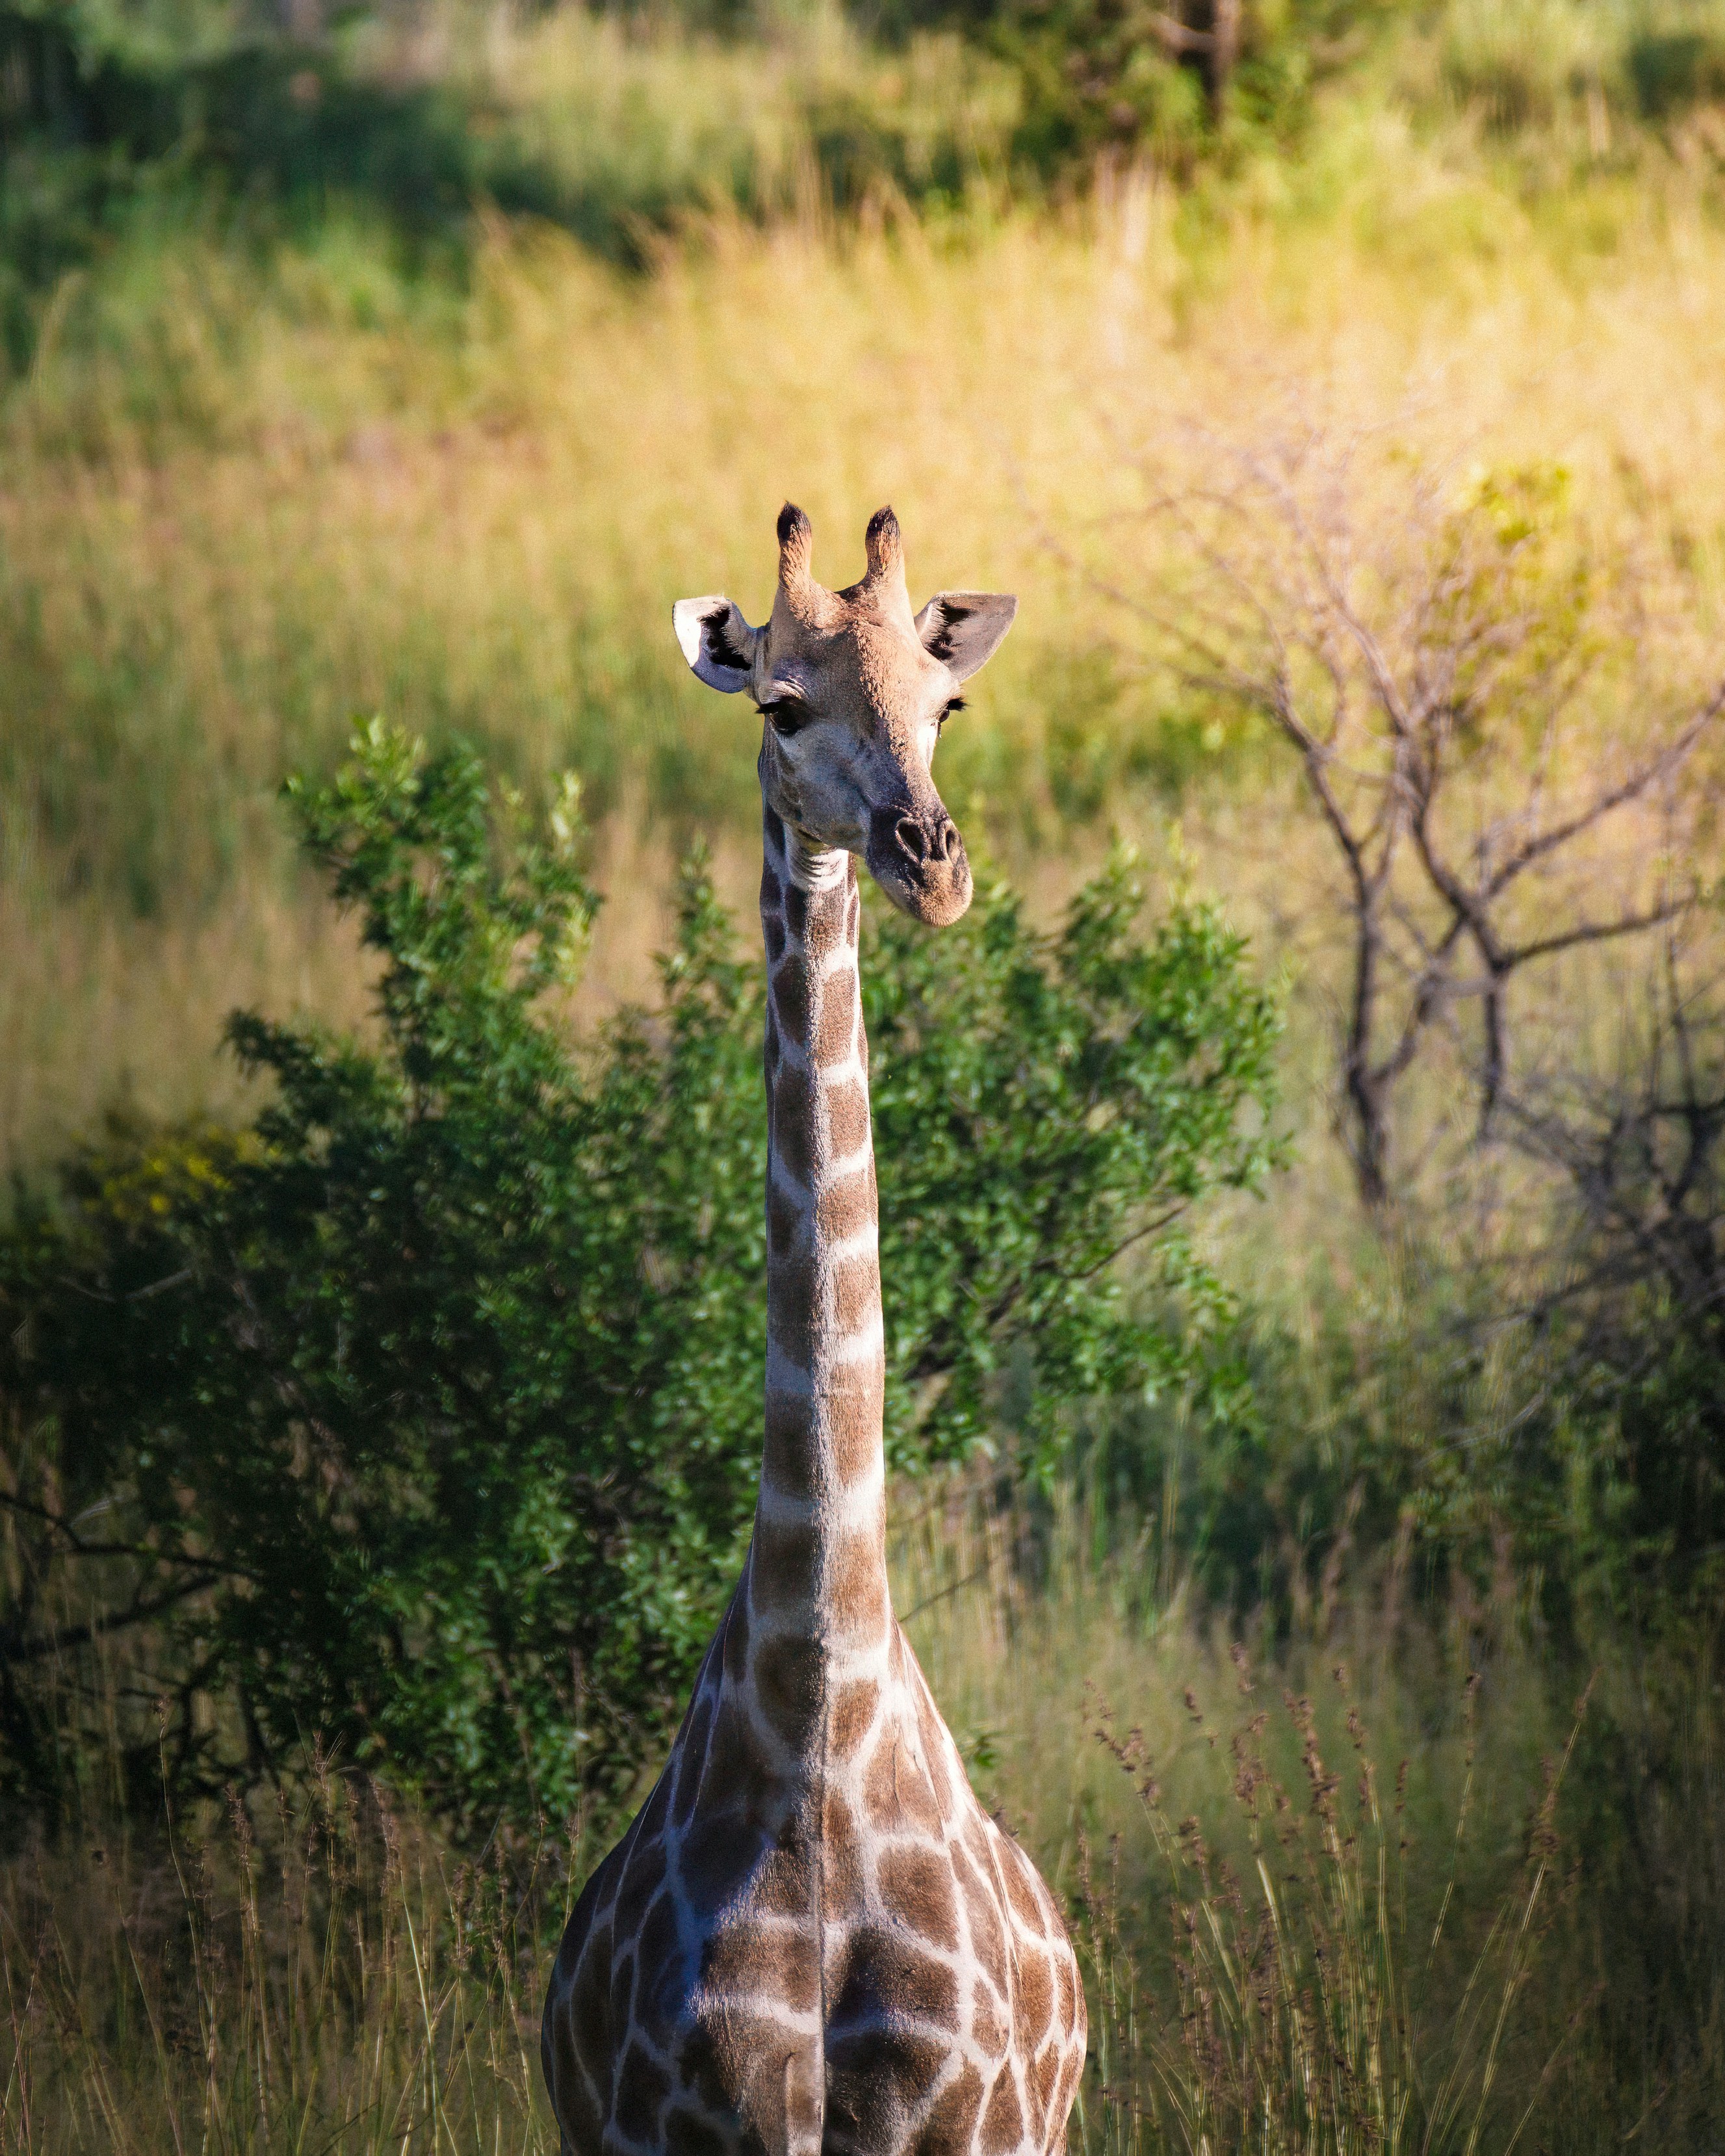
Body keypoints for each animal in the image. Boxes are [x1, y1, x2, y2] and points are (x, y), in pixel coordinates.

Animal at [542, 503, 1086, 2156]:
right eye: (781, 704)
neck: (820, 1723)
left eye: (946, 702)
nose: (933, 864)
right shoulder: (682, 2120)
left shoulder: (958, 2121)